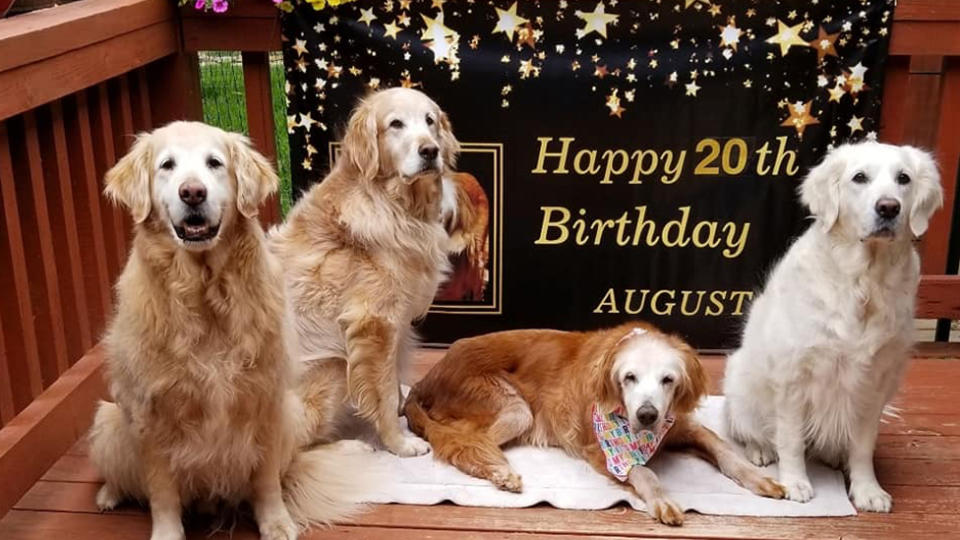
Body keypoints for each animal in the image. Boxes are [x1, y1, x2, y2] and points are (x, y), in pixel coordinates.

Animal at [89, 122, 382, 540]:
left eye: (214, 163)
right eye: (167, 165)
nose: (193, 192)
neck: (205, 293)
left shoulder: (265, 400)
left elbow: (267, 479)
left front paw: (276, 522)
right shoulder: (151, 414)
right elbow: (162, 491)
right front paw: (167, 533)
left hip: (290, 409)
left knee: (296, 456)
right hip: (108, 421)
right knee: (125, 475)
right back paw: (108, 494)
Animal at [270, 87, 462, 456]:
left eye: (430, 120)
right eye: (396, 124)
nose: (430, 151)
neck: (394, 205)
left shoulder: (398, 320)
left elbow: (394, 377)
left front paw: (405, 408)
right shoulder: (375, 322)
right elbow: (383, 392)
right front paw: (400, 442)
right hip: (331, 366)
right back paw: (351, 448)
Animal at [404, 322, 788, 524]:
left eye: (668, 380)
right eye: (629, 377)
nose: (646, 416)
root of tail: (429, 376)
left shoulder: (681, 425)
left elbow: (726, 452)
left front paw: (761, 480)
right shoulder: (603, 449)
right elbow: (643, 472)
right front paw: (661, 499)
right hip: (515, 409)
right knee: (462, 445)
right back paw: (500, 472)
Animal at [724, 141, 940, 512]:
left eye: (903, 179)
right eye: (859, 177)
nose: (888, 207)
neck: (864, 282)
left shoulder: (875, 382)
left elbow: (863, 446)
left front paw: (867, 489)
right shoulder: (794, 377)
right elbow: (791, 440)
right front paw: (794, 483)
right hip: (740, 383)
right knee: (755, 430)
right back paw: (761, 450)